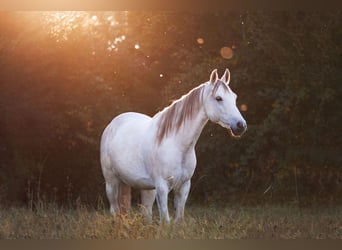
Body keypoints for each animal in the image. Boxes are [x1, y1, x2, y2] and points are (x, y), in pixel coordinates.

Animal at [100, 68, 247, 223]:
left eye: (234, 97)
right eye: (218, 98)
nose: (241, 125)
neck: (177, 146)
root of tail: (112, 124)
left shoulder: (184, 186)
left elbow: (179, 219)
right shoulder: (162, 187)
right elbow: (166, 220)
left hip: (145, 188)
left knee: (145, 212)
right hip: (112, 182)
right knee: (114, 210)